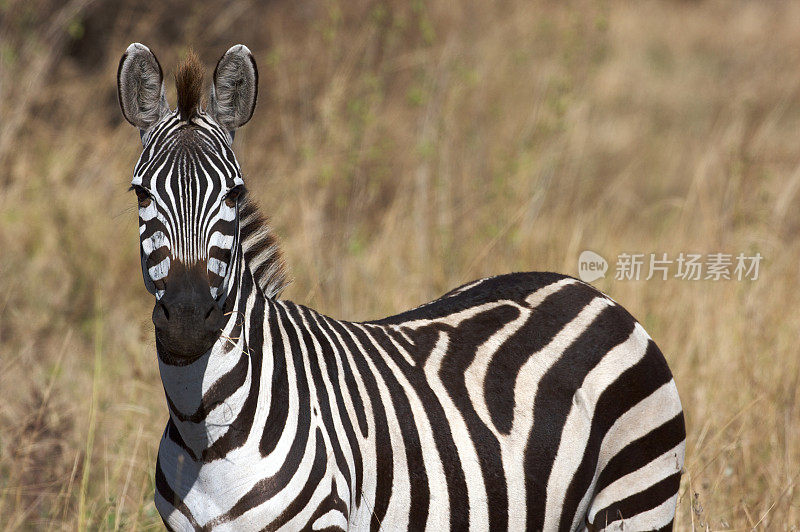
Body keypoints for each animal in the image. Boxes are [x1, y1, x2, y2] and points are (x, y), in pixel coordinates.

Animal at [115, 43, 684, 528]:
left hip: (636, 501)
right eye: (141, 194)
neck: (203, 428)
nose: (188, 320)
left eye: (234, 194)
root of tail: (586, 290)